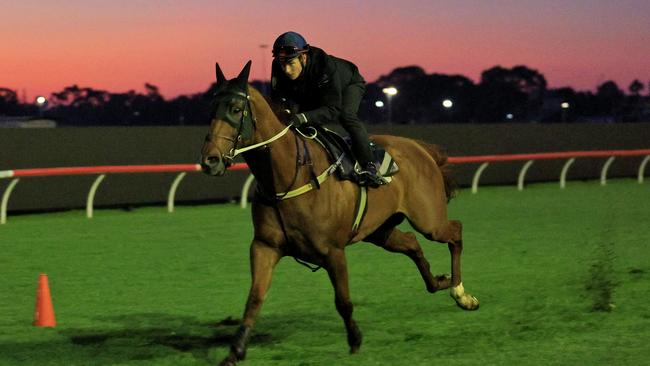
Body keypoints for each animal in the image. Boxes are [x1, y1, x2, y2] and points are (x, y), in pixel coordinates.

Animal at [200, 60, 478, 366]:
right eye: (211, 109)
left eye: (236, 109)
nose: (210, 160)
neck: (287, 177)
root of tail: (419, 147)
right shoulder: (264, 246)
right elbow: (254, 298)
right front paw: (234, 351)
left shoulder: (333, 251)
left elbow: (342, 300)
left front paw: (355, 340)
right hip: (380, 230)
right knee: (411, 243)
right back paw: (439, 282)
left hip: (429, 220)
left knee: (455, 230)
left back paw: (461, 293)